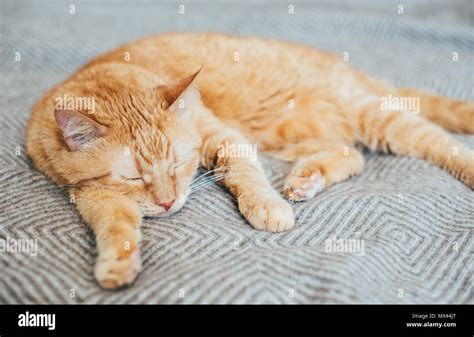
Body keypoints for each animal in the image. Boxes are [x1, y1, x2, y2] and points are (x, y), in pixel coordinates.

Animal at [26, 32, 474, 288]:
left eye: (178, 164)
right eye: (134, 178)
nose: (168, 203)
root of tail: (357, 74)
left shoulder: (221, 136)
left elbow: (244, 172)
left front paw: (265, 205)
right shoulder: (90, 193)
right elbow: (115, 224)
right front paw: (119, 262)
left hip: (374, 115)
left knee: (438, 141)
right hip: (298, 136)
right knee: (351, 155)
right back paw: (306, 179)